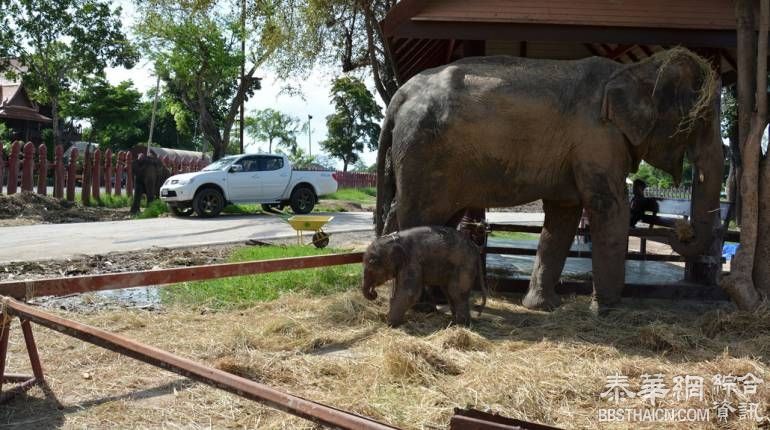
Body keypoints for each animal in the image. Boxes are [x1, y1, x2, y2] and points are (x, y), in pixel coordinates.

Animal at [376, 47, 724, 316]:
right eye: (699, 119)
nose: (680, 226)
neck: (635, 69)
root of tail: (400, 94)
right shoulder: (597, 137)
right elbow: (608, 207)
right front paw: (608, 311)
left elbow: (564, 214)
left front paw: (543, 308)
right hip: (423, 149)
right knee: (418, 213)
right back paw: (422, 307)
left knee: (431, 216)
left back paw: (430, 300)